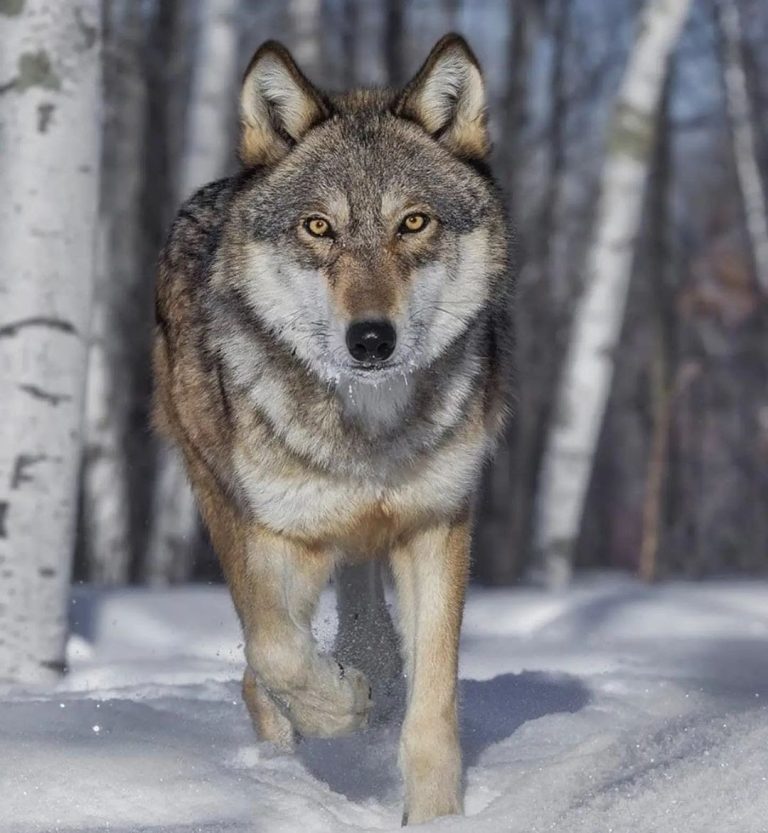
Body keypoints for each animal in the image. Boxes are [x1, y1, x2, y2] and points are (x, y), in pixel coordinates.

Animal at [152, 33, 513, 824]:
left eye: (414, 222)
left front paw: (436, 817)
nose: (371, 339)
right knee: (256, 666)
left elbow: (432, 706)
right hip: (226, 501)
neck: (368, 429)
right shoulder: (276, 535)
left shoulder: (437, 524)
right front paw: (340, 705)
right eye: (319, 226)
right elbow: (277, 652)